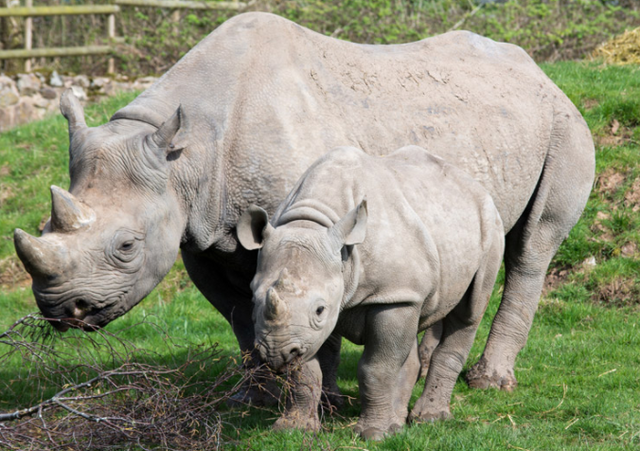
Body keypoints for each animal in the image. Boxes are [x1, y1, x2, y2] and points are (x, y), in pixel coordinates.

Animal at [236, 147, 504, 440]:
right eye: (253, 301)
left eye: (319, 310)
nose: (275, 353)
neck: (312, 223)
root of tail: (476, 185)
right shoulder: (315, 325)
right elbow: (305, 370)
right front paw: (293, 429)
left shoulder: (391, 296)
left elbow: (376, 368)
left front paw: (374, 434)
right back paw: (397, 423)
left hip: (490, 226)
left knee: (469, 313)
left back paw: (429, 419)